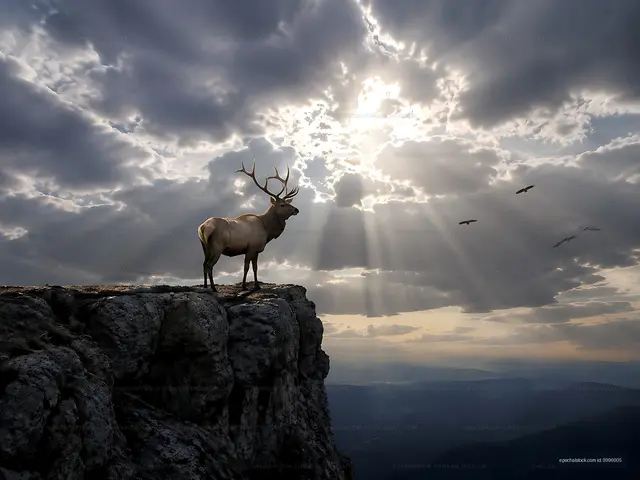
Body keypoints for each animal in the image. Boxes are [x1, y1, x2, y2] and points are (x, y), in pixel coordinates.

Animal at [197, 161, 300, 292]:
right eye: (282, 204)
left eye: (288, 202)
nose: (296, 210)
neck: (267, 230)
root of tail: (203, 227)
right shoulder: (251, 247)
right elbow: (246, 267)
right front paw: (244, 286)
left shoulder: (256, 250)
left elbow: (255, 267)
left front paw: (257, 285)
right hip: (217, 246)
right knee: (209, 265)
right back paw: (214, 288)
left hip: (204, 246)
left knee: (204, 264)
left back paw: (205, 286)